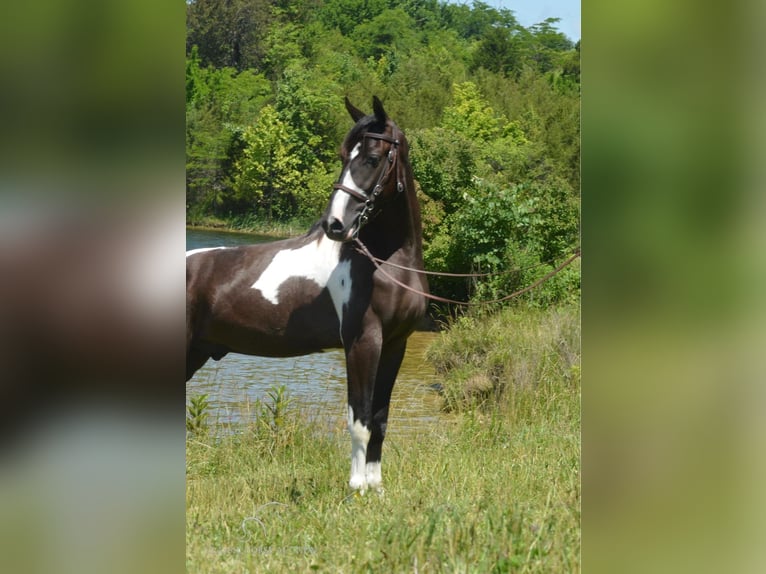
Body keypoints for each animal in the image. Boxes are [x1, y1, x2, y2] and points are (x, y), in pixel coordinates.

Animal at [184, 97, 426, 492]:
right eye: (344, 156)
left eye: (373, 158)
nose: (335, 224)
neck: (385, 263)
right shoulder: (363, 342)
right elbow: (359, 420)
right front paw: (357, 488)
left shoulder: (395, 344)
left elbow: (380, 419)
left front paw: (376, 488)